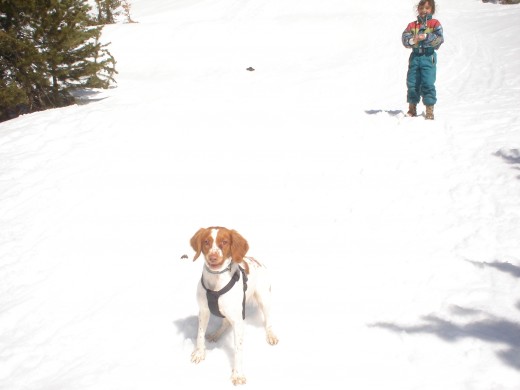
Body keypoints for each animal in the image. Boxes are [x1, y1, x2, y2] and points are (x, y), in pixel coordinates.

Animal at [189, 227, 278, 386]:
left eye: (224, 242)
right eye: (206, 242)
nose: (213, 257)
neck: (216, 282)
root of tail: (257, 261)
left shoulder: (238, 321)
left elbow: (238, 350)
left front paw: (237, 375)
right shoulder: (204, 311)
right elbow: (200, 335)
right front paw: (199, 353)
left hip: (264, 299)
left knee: (268, 321)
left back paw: (271, 335)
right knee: (224, 323)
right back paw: (216, 334)